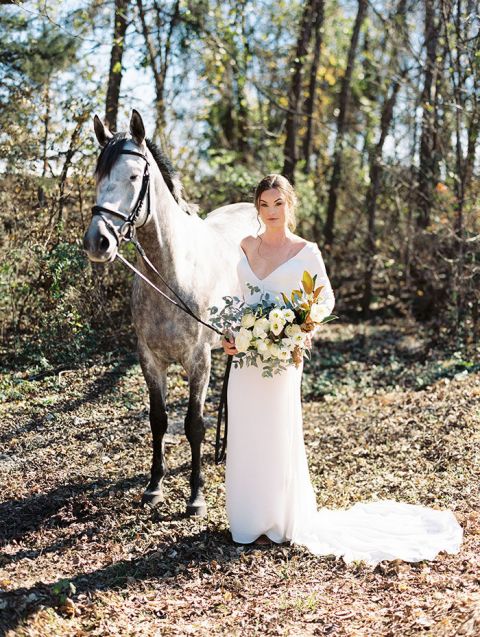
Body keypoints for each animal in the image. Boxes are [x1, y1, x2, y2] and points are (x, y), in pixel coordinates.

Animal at [84, 109, 260, 516]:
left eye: (134, 177)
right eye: (99, 177)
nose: (97, 242)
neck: (172, 271)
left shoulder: (198, 359)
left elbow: (193, 424)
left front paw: (196, 495)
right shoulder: (150, 358)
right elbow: (159, 420)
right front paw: (154, 487)